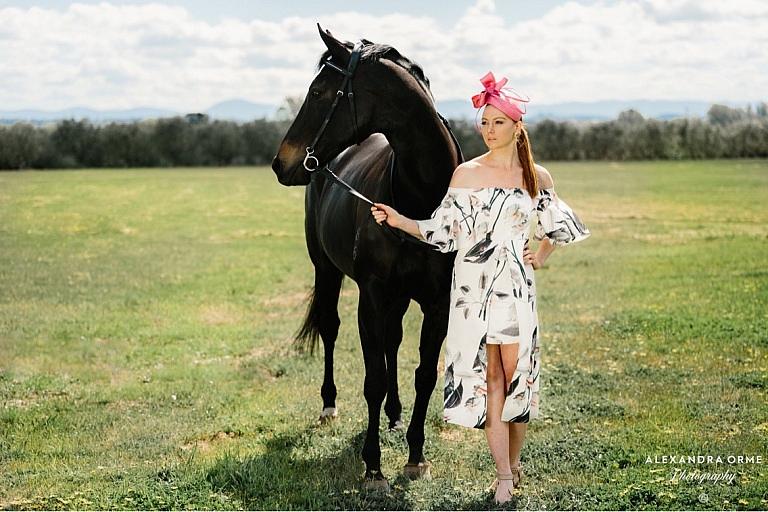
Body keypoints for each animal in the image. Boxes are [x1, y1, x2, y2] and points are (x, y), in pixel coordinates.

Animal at [270, 25, 462, 488]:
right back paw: (329, 405)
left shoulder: (437, 302)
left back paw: (394, 415)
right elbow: (372, 378)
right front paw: (373, 465)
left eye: (319, 91)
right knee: (330, 328)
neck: (419, 202)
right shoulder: (371, 295)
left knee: (392, 340)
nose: (280, 162)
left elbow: (425, 375)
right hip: (326, 270)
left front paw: (415, 455)